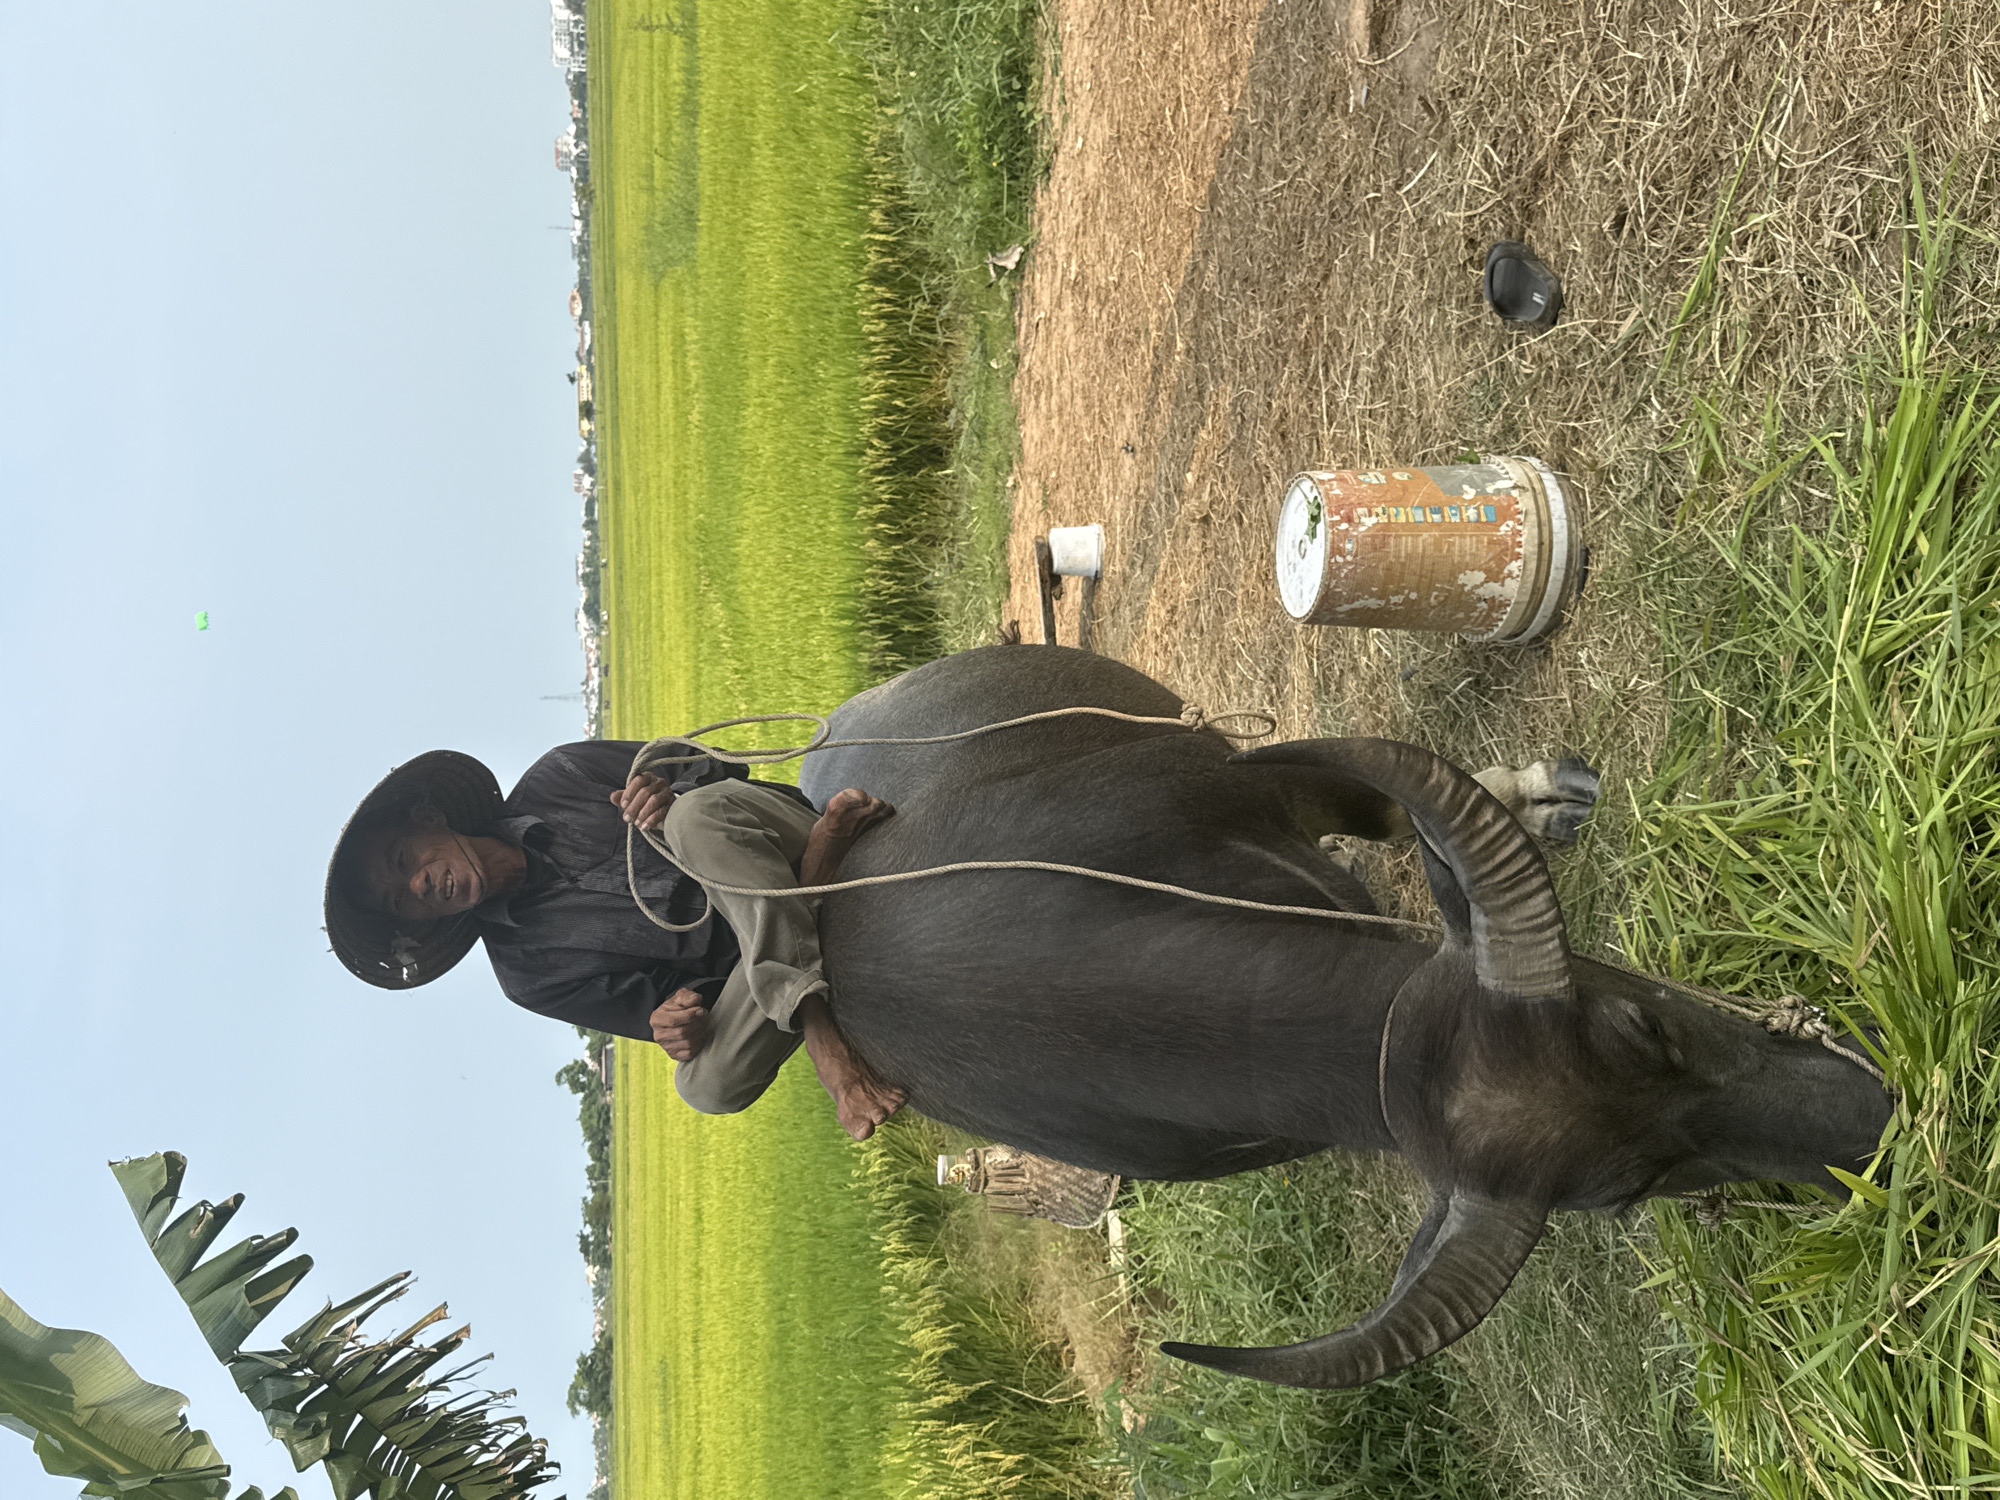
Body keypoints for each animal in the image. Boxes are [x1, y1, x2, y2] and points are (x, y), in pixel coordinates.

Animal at [796, 645, 1892, 1389]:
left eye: (1641, 1027)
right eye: (1629, 1191)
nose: (1870, 1130)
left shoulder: (1278, 778)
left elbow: (1383, 811)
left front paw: (1540, 794)